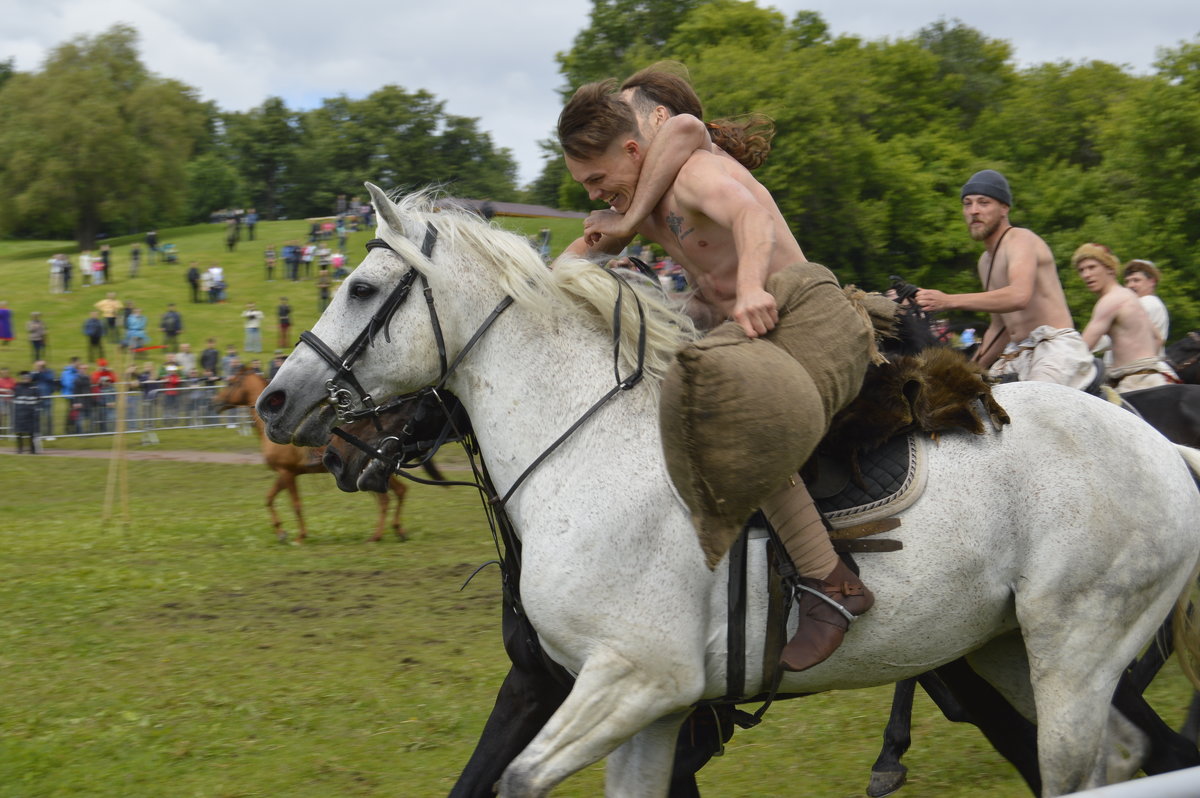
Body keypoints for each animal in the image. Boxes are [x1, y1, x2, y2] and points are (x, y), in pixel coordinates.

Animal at [212, 367, 408, 542]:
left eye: (231, 382)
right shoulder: (285, 474)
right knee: (399, 492)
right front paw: (281, 533)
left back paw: (378, 535)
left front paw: (300, 536)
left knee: (387, 499)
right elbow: (269, 499)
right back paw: (397, 530)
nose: (216, 401)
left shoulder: (287, 473)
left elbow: (296, 505)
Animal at [258, 184, 1200, 792]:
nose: (277, 402)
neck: (587, 450)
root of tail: (1164, 449)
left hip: (1073, 652)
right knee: (1121, 756)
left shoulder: (636, 680)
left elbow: (517, 781)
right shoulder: (638, 706)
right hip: (1009, 652)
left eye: (362, 287)